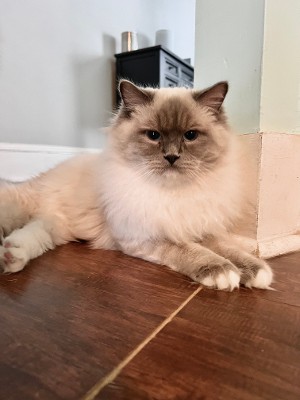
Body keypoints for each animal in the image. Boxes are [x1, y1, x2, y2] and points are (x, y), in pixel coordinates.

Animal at [0, 79, 272, 290]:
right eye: (153, 135)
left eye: (190, 136)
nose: (171, 157)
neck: (175, 194)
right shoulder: (146, 236)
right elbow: (192, 251)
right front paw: (222, 272)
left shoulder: (200, 227)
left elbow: (230, 250)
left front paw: (256, 272)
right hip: (19, 208)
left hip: (54, 228)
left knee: (30, 233)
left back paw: (11, 255)